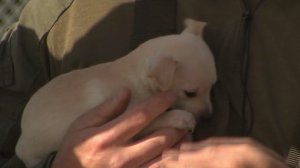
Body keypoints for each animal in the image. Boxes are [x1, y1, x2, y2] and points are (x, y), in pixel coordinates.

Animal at [15, 19, 216, 167]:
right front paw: (181, 117)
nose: (208, 116)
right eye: (190, 93)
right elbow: (155, 118)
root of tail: (21, 141)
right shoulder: (128, 119)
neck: (134, 76)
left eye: (213, 86)